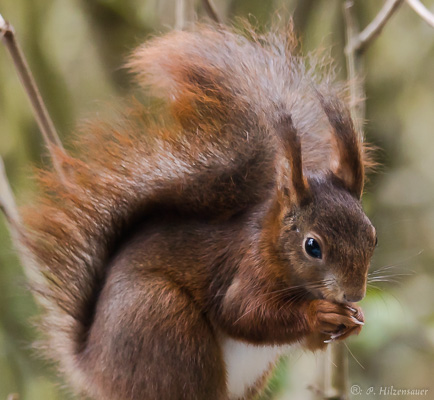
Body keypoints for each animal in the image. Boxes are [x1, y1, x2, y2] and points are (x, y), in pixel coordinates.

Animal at [17, 23, 374, 398]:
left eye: (373, 237)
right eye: (312, 246)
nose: (354, 293)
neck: (271, 246)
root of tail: (94, 367)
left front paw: (355, 318)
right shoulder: (245, 271)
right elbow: (244, 314)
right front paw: (319, 312)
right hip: (165, 322)